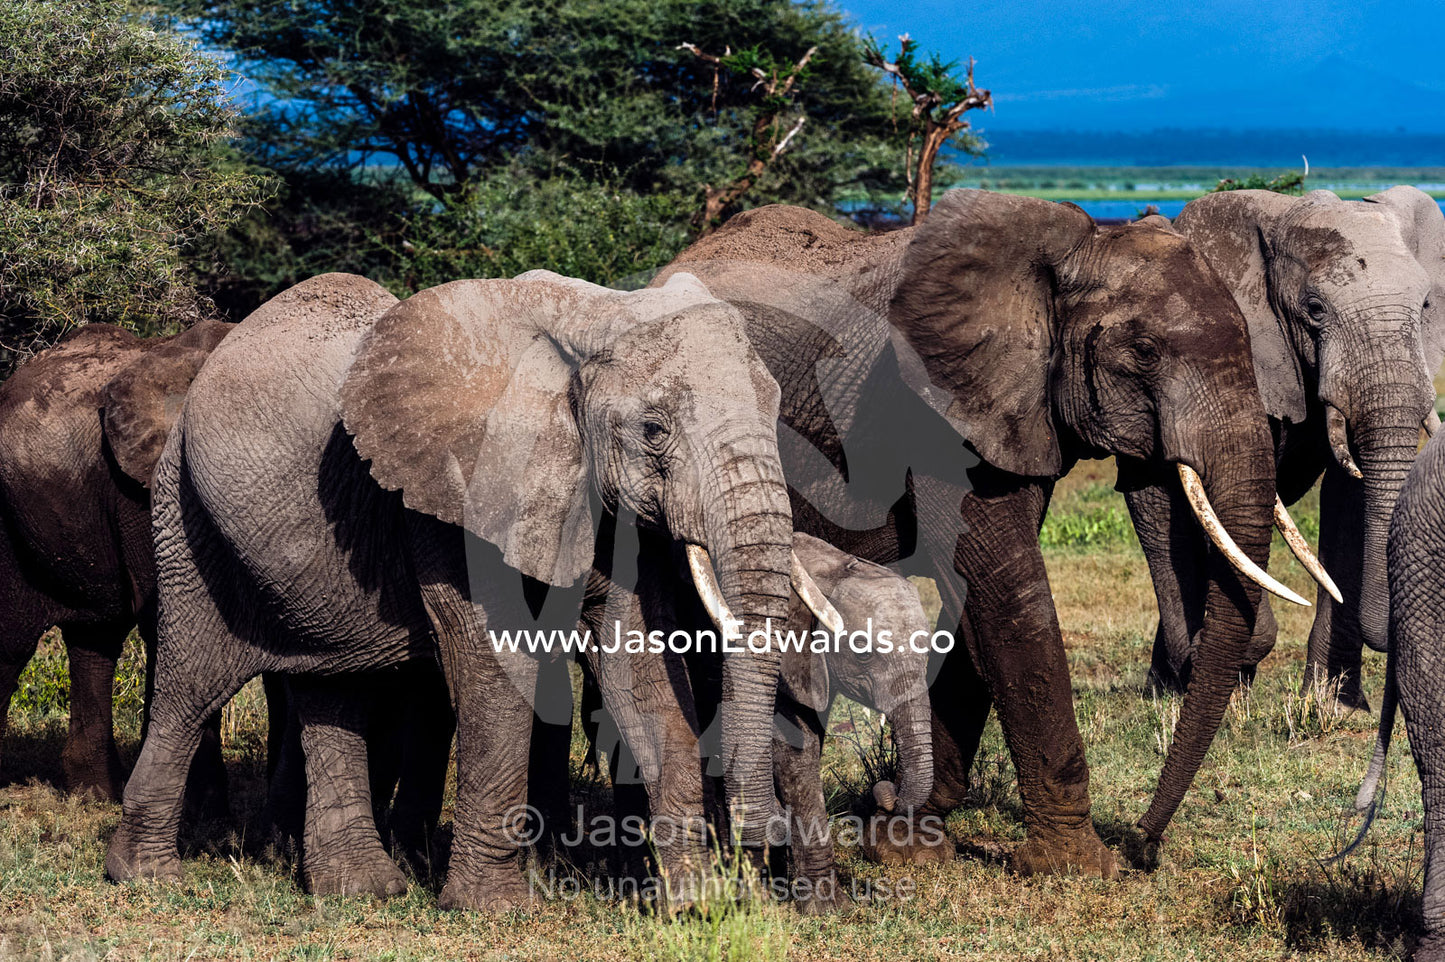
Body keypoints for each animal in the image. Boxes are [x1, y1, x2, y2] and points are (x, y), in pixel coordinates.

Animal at [104, 270, 828, 909]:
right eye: (654, 431)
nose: (763, 840)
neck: (590, 317)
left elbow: (642, 666)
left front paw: (698, 905)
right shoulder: (457, 494)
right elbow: (499, 664)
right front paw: (494, 908)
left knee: (331, 689)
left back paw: (361, 891)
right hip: (185, 515)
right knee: (191, 686)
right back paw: (145, 878)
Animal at [651, 188, 1334, 875]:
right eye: (1143, 351)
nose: (1144, 841)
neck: (1071, 252)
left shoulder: (1012, 414)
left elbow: (976, 609)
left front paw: (902, 841)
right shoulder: (934, 411)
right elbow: (1007, 592)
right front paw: (1078, 867)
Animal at [1130, 187, 1445, 707]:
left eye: (1424, 306)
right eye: (1315, 309)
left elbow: (1347, 498)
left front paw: (1335, 704)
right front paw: (1238, 660)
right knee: (1156, 506)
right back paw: (1181, 683)